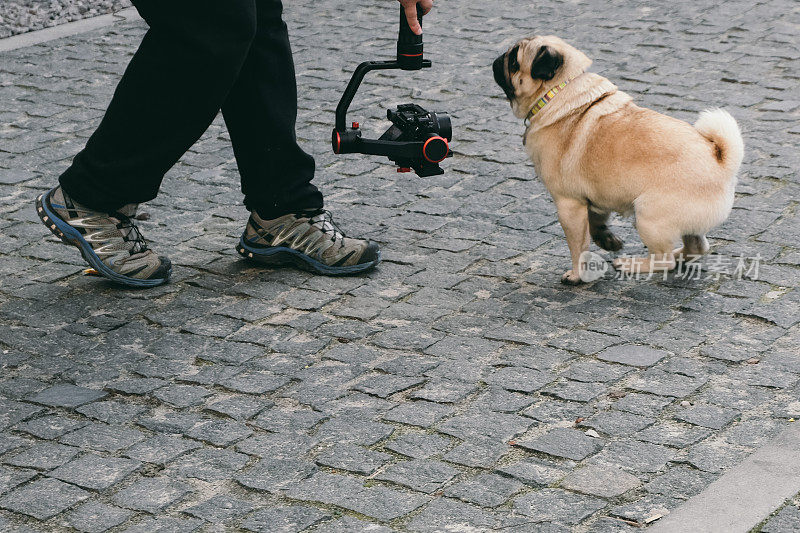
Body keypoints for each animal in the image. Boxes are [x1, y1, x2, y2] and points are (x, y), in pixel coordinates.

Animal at [490, 35, 748, 284]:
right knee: (697, 247)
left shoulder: (568, 204)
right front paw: (607, 240)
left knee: (663, 260)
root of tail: (720, 162)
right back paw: (677, 256)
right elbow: (596, 224)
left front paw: (577, 276)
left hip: (648, 216)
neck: (560, 91)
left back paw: (633, 264)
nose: (498, 57)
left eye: (514, 61)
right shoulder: (593, 199)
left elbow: (578, 247)